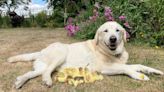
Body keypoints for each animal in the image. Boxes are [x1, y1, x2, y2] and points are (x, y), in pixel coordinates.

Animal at [8, 21, 163, 88]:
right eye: (105, 31)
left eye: (117, 30)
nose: (113, 39)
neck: (112, 53)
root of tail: (42, 50)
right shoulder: (103, 68)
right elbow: (126, 68)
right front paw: (139, 76)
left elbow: (138, 65)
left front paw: (154, 71)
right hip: (61, 52)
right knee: (47, 71)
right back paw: (47, 81)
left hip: (40, 67)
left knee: (32, 73)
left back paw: (20, 81)